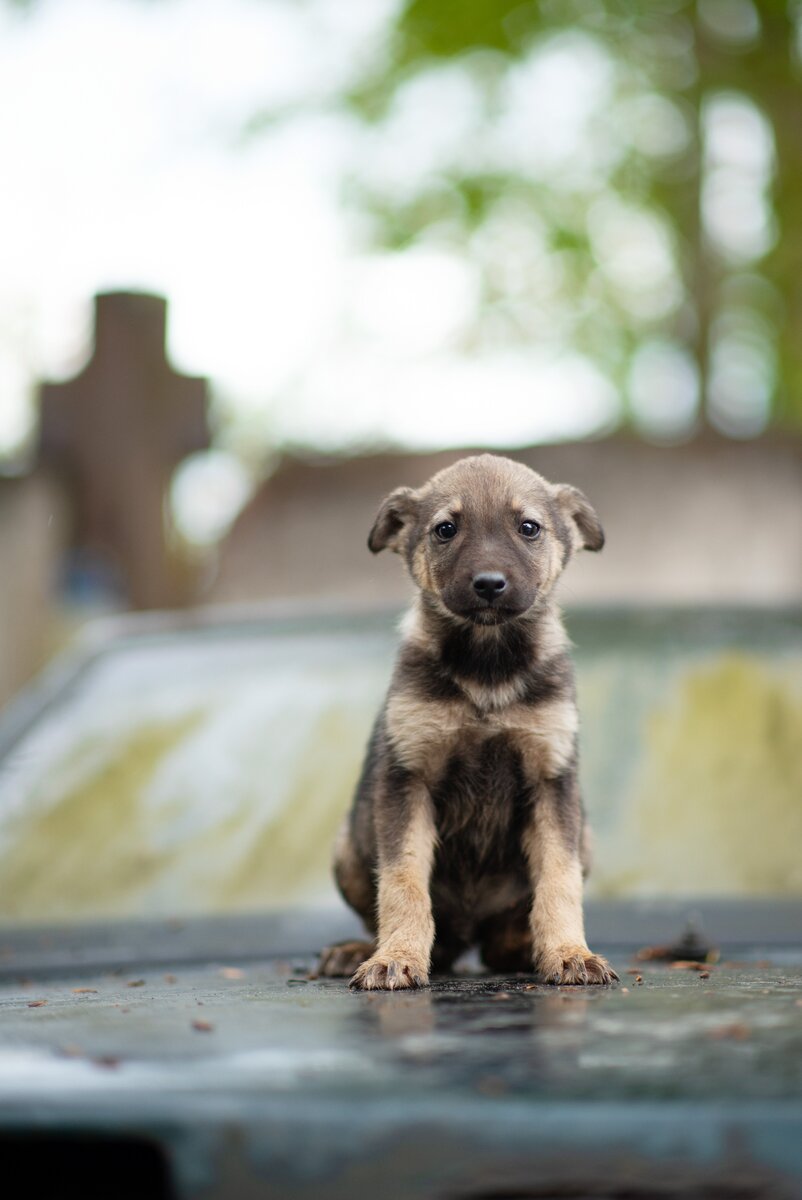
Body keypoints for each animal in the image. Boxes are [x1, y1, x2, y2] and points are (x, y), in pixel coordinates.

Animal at [316, 453, 619, 988]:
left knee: (503, 938)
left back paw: (524, 949)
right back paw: (359, 949)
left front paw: (568, 952)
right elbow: (402, 882)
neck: (487, 670)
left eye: (528, 527)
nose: (489, 585)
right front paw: (396, 957)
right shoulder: (407, 781)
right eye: (446, 529)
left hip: (583, 836)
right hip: (348, 847)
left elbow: (558, 882)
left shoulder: (552, 783)